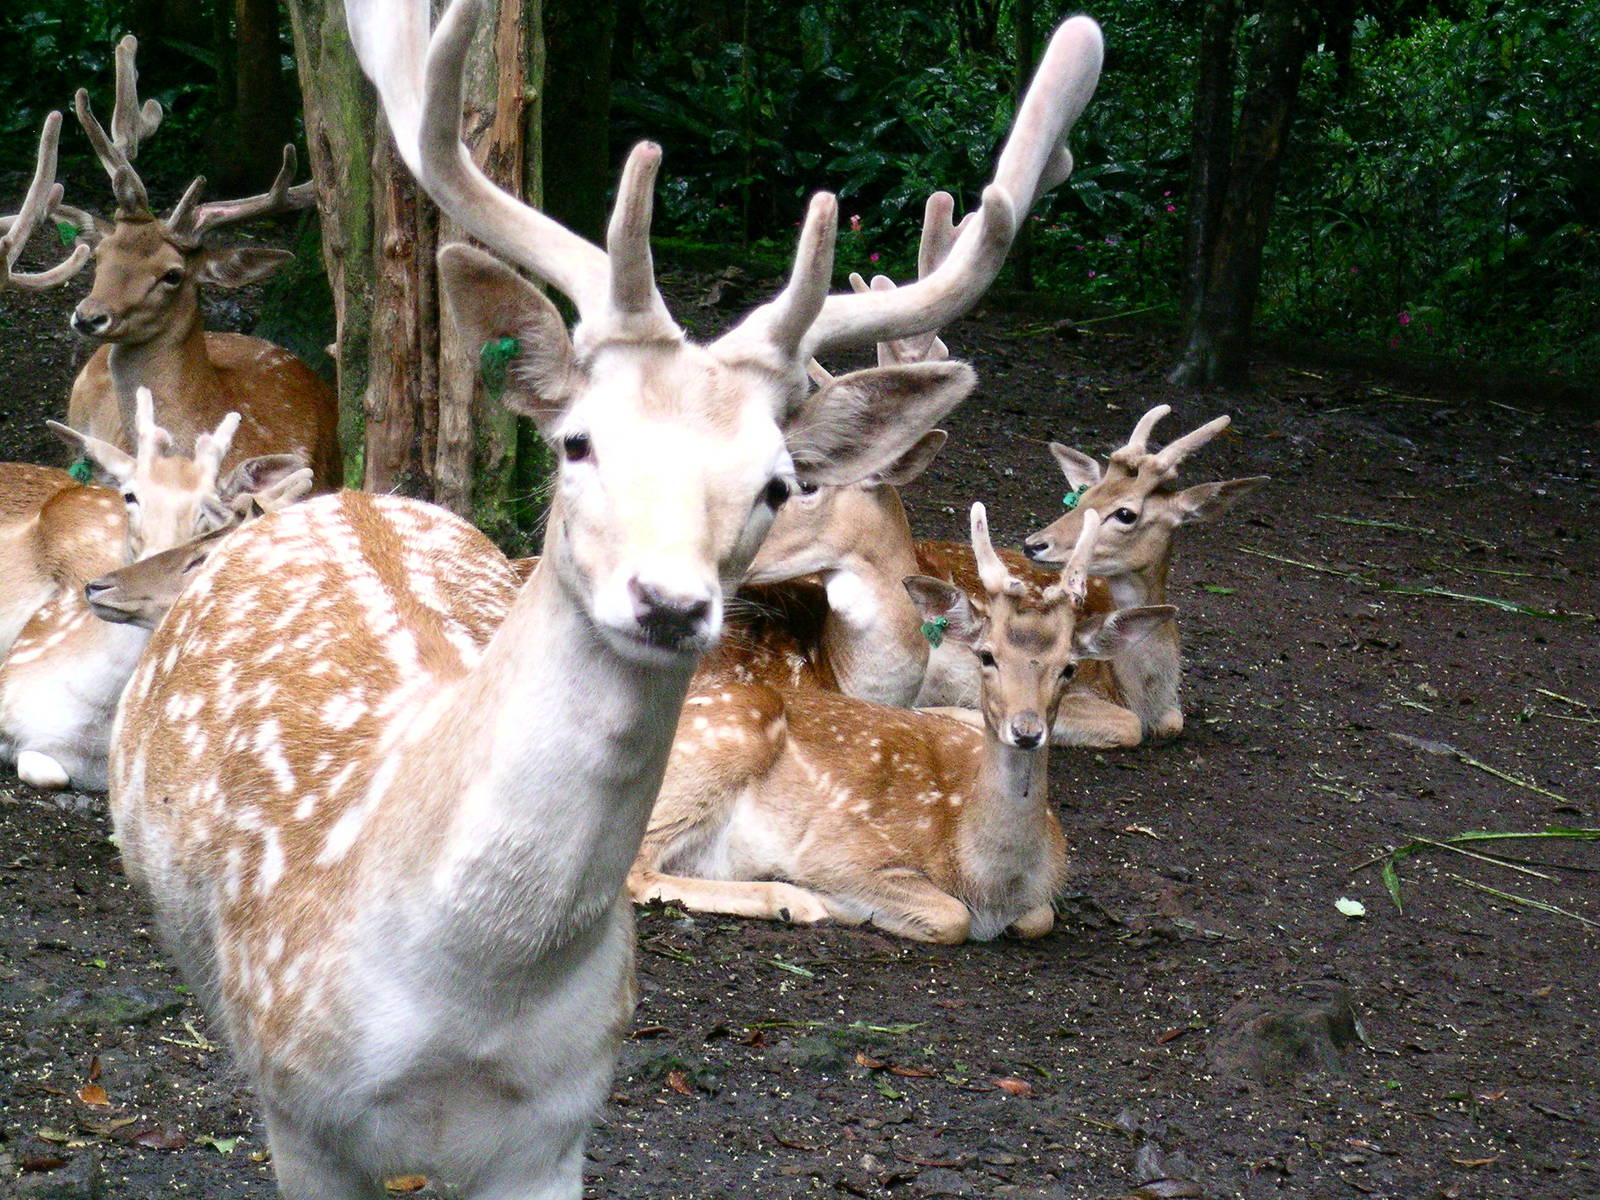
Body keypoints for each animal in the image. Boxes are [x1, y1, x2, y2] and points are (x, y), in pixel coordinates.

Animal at [104, 0, 1104, 1194]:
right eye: (577, 441)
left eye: (778, 480)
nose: (670, 603)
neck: (467, 1002)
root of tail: (340, 496)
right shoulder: (300, 1107)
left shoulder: (560, 1121)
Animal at [631, 505, 1175, 943]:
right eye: (987, 655)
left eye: (1068, 667)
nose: (1026, 729)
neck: (990, 881)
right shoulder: (842, 852)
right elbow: (950, 916)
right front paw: (833, 903)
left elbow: (1039, 918)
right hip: (722, 743)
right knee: (636, 871)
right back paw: (794, 902)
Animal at [1020, 404, 1269, 741]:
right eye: (1082, 498)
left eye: (1125, 513)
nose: (1034, 544)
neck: (1142, 694)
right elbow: (1131, 725)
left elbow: (1173, 722)